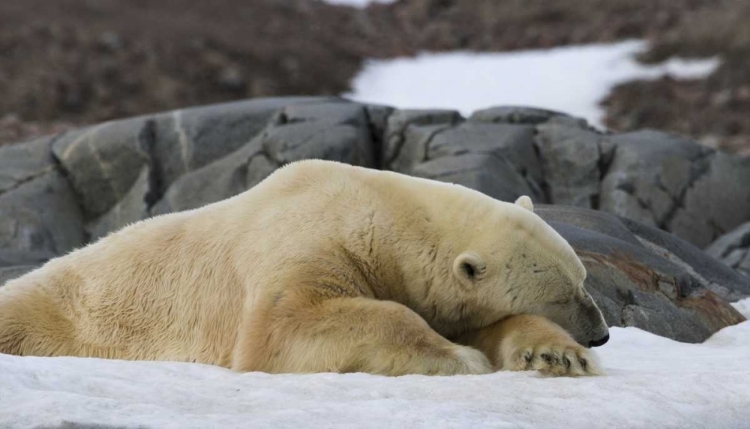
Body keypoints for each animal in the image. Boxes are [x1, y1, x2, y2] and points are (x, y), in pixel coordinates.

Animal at [0, 160, 612, 374]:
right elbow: (283, 328)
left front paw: (555, 354)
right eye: (563, 292)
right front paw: (458, 357)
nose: (603, 333)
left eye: (583, 279)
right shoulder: (301, 242)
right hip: (41, 319)